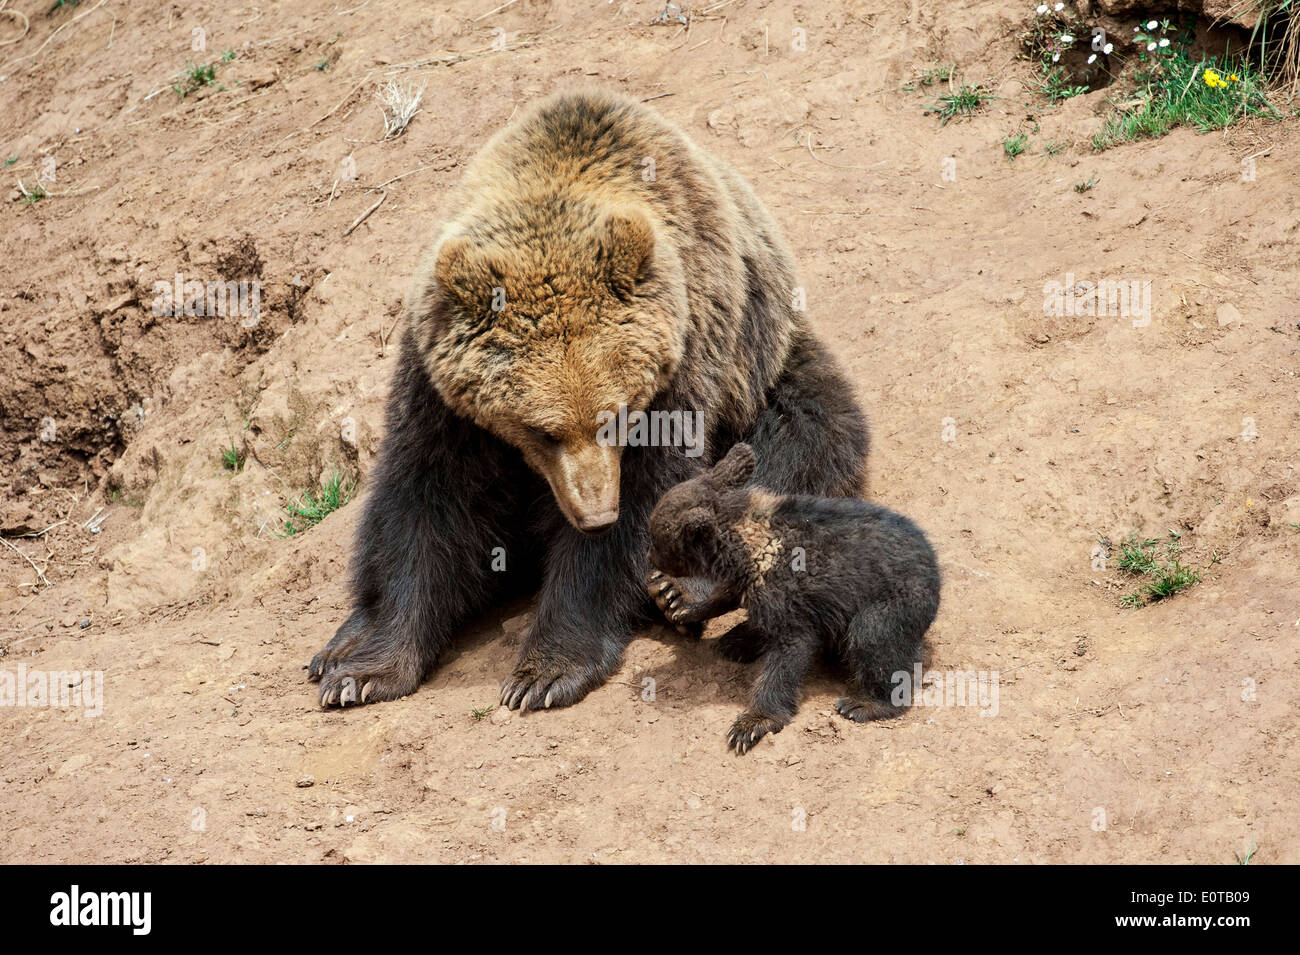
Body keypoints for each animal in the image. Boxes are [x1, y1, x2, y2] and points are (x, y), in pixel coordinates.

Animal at [307, 88, 869, 711]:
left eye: (615, 417)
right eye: (541, 429)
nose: (596, 515)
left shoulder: (684, 363)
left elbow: (650, 501)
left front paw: (546, 671)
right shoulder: (442, 395)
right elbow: (427, 503)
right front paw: (366, 670)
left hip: (766, 361)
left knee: (806, 438)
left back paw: (684, 590)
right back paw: (337, 643)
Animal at [646, 443, 940, 754]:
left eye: (657, 540)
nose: (649, 556)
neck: (743, 547)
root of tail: (935, 568)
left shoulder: (788, 597)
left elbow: (788, 655)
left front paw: (753, 722)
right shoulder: (750, 581)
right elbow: (725, 597)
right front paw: (682, 608)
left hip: (896, 598)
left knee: (873, 637)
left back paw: (867, 702)